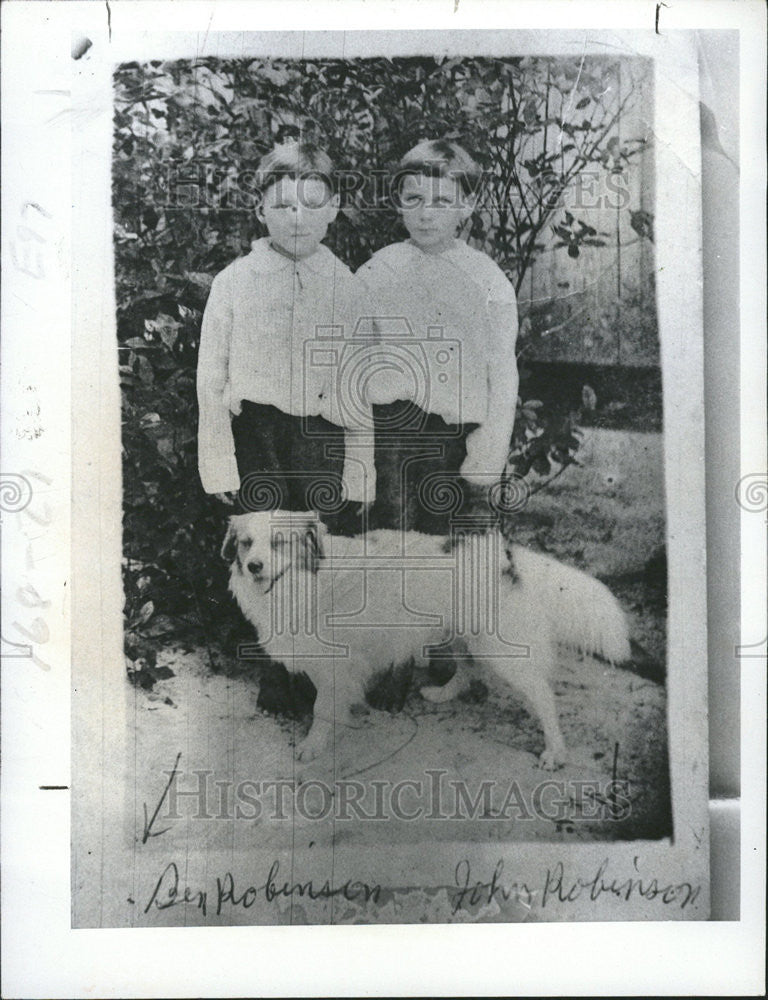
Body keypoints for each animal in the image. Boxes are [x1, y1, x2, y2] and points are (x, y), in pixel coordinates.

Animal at [224, 512, 632, 768]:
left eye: (278, 543)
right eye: (246, 543)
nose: (254, 566)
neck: (306, 581)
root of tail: (507, 556)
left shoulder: (338, 662)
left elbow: (324, 707)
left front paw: (314, 745)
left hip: (501, 649)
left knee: (543, 695)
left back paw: (555, 752)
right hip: (464, 632)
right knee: (467, 668)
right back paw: (444, 693)